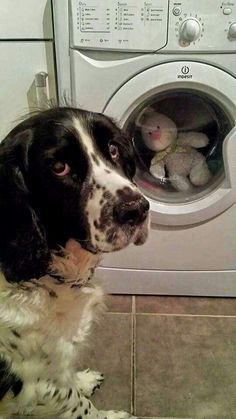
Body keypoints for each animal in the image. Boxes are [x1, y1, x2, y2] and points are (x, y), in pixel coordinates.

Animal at [0, 109, 148, 419]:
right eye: (59, 167)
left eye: (113, 149)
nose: (137, 210)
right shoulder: (38, 384)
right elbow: (80, 406)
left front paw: (83, 380)